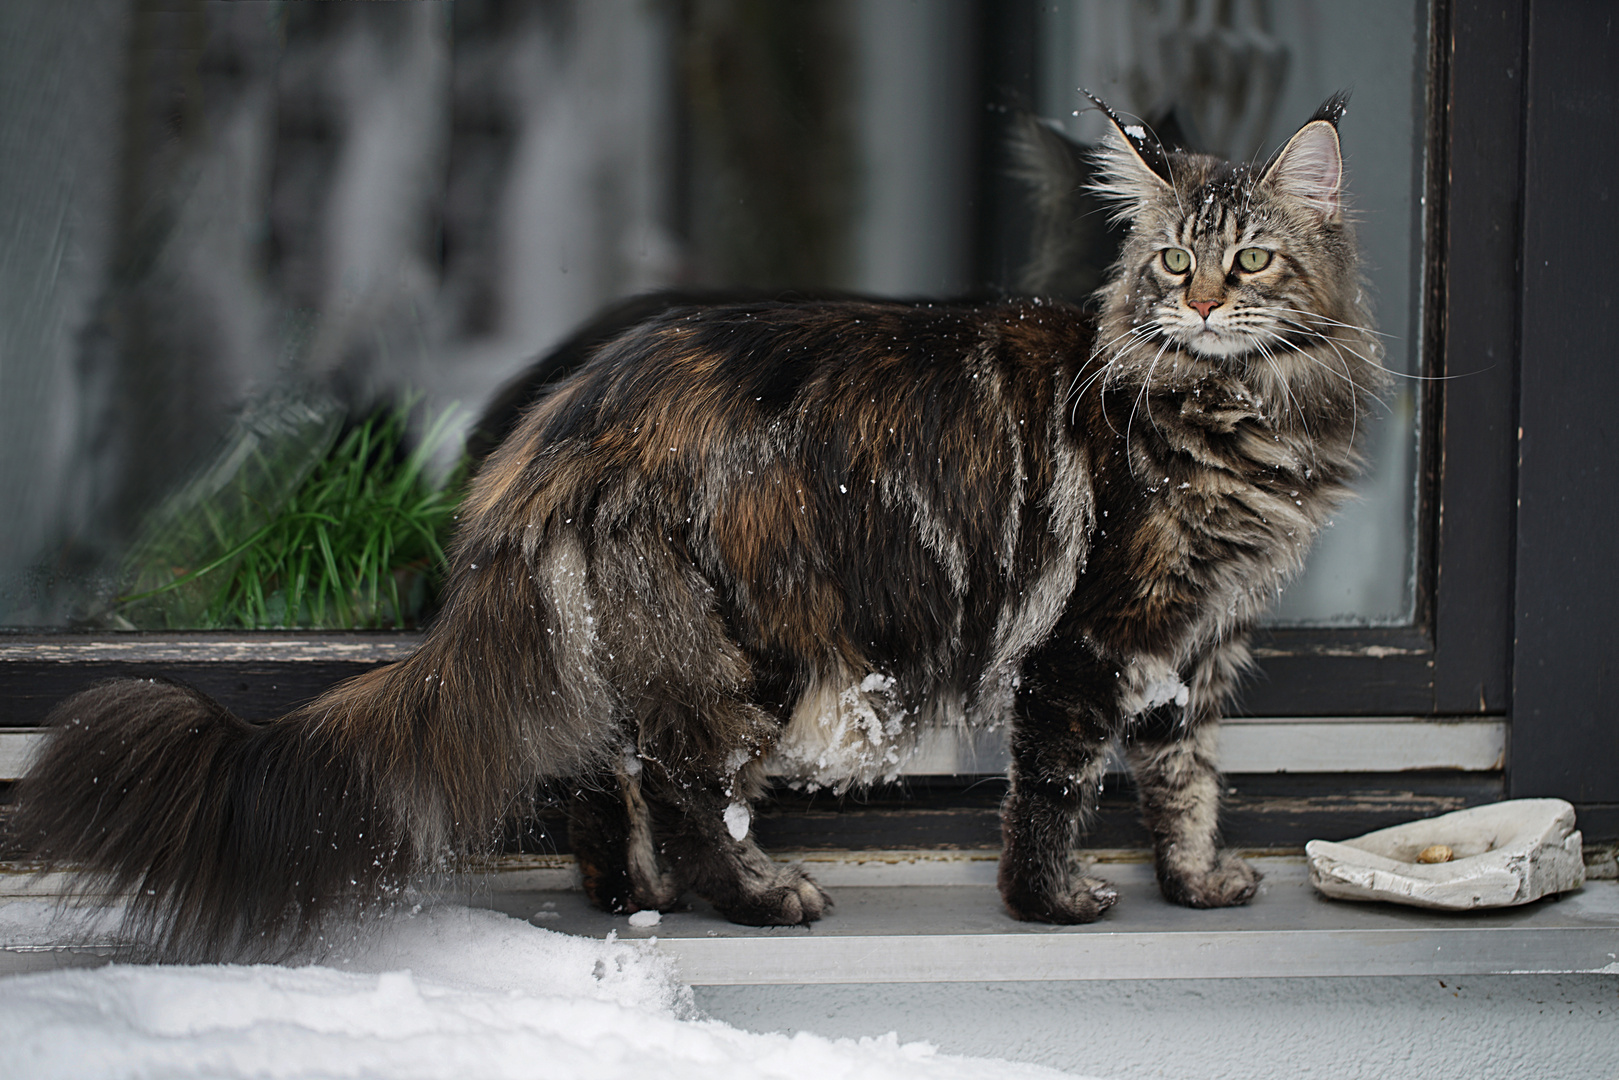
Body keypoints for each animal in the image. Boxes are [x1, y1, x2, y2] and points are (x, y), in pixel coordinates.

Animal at [6, 90, 1385, 952]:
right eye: (1171, 264)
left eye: (1251, 262)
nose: (1197, 305)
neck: (1240, 410)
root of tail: (564, 421)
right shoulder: (1094, 640)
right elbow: (1052, 791)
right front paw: (1052, 905)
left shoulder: (1197, 647)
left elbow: (1186, 779)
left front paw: (1197, 884)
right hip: (753, 646)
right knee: (677, 781)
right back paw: (756, 898)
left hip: (647, 638)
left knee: (599, 774)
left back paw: (634, 893)